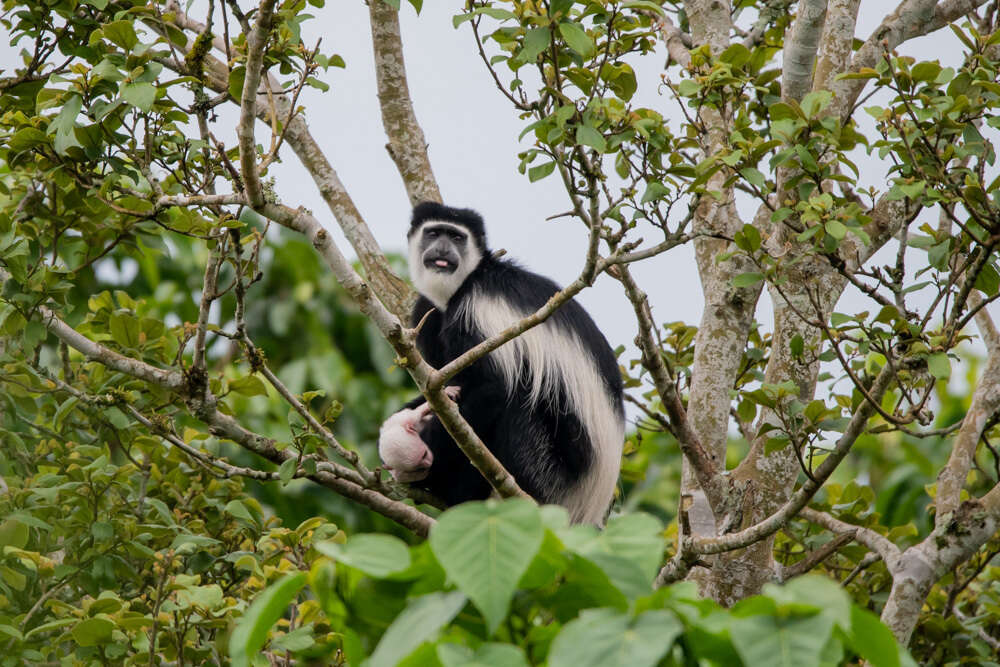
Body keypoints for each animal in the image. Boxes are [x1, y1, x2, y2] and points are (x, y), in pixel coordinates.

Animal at [380, 201, 624, 524]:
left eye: (456, 237)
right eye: (433, 233)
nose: (442, 249)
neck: (468, 281)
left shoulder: (474, 310)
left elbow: (491, 389)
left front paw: (420, 451)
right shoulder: (427, 313)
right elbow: (444, 386)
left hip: (546, 474)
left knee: (516, 402)